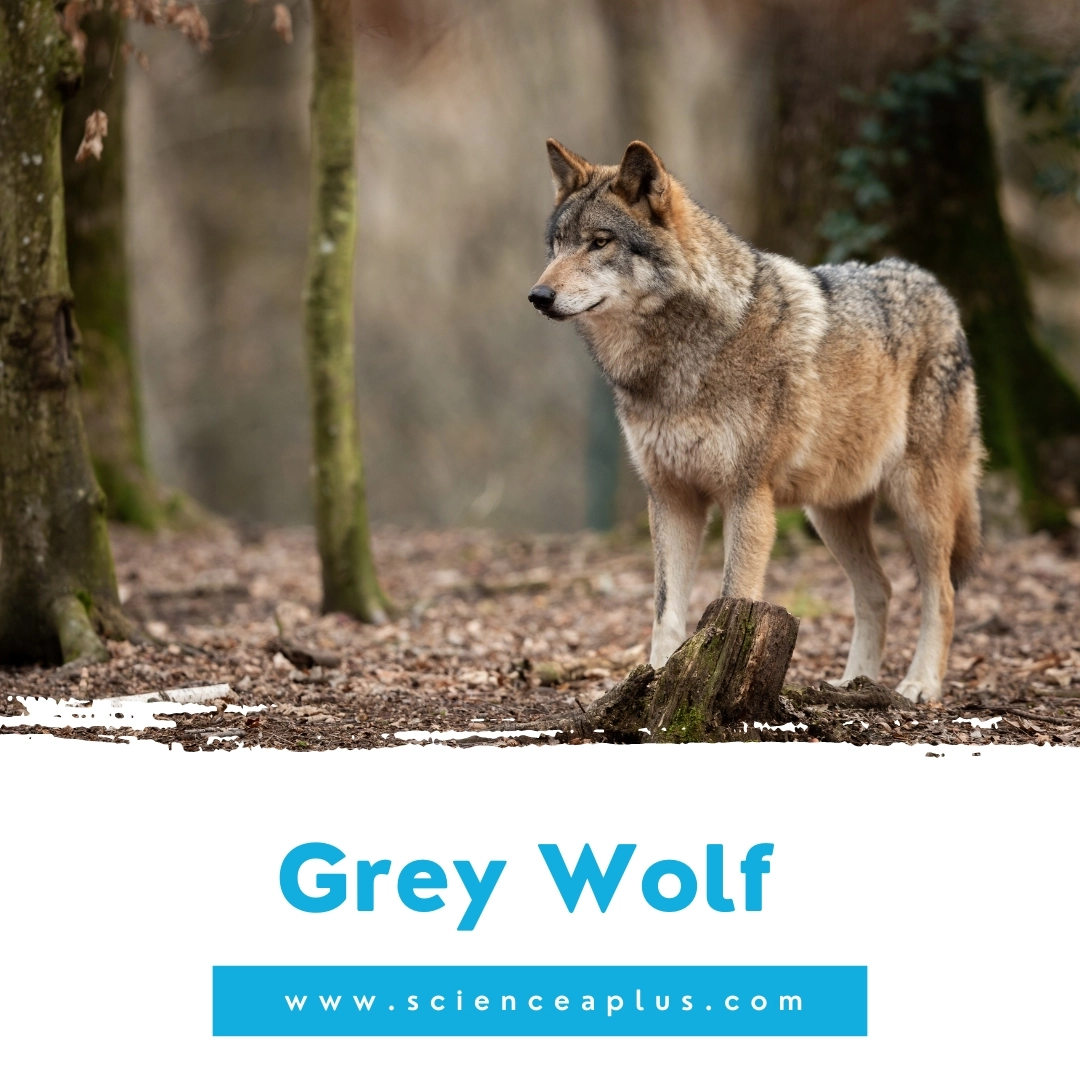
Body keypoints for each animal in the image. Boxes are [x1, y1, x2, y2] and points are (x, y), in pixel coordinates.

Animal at [529, 139, 984, 703]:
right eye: (557, 245)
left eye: (599, 242)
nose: (538, 297)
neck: (677, 361)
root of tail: (935, 286)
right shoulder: (671, 498)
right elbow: (665, 611)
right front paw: (655, 683)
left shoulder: (747, 497)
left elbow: (732, 598)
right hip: (830, 513)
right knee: (879, 589)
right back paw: (853, 683)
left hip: (918, 504)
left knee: (941, 594)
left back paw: (920, 684)